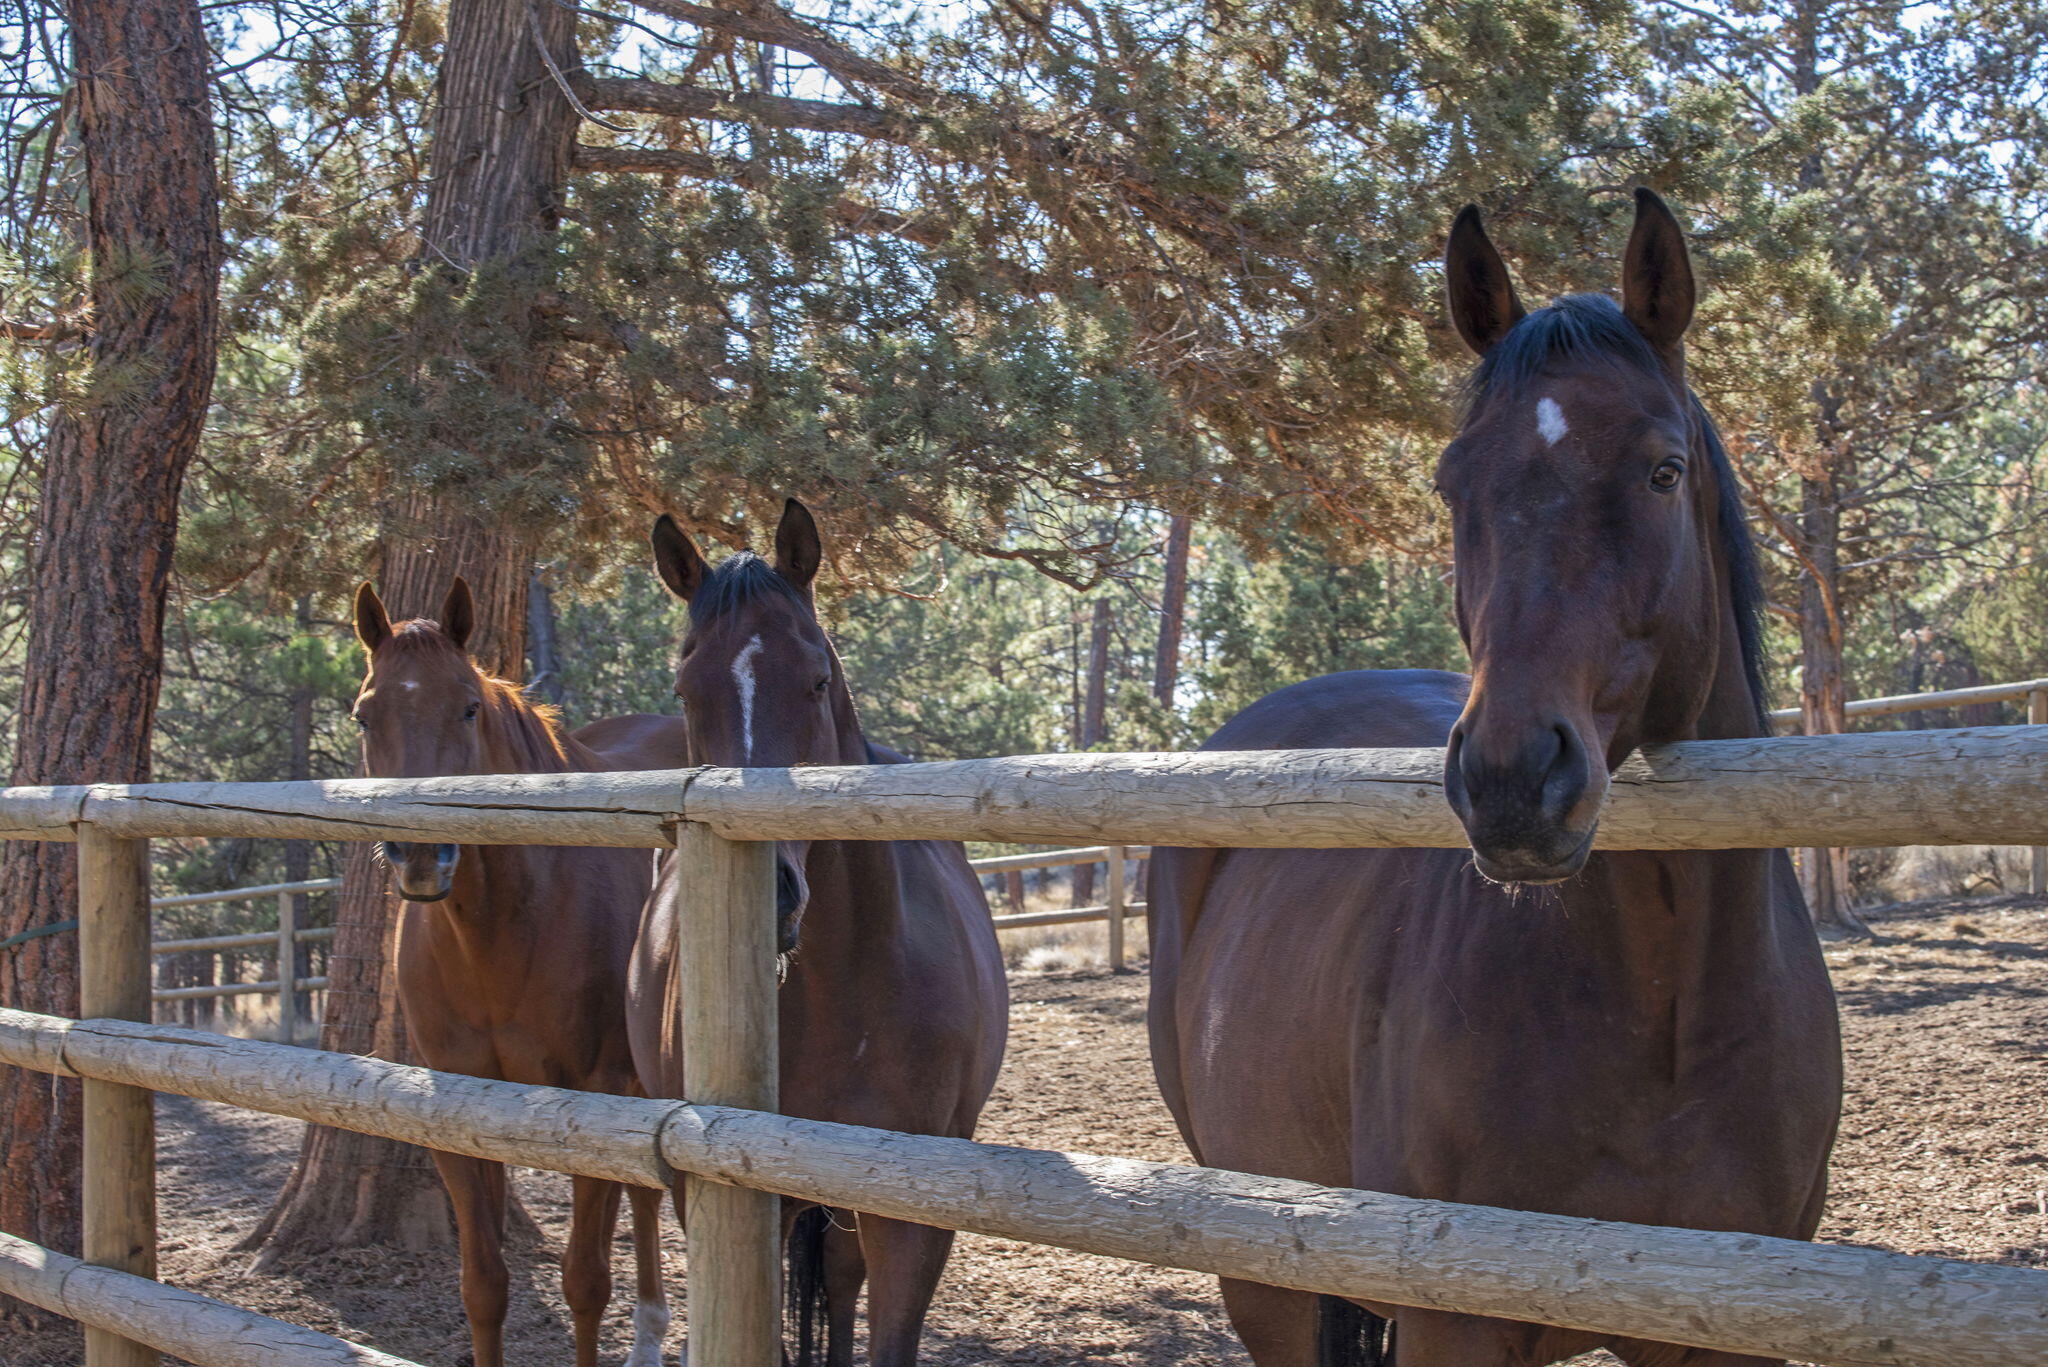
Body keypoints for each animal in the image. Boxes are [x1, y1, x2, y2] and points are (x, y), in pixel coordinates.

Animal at [351, 578, 692, 1367]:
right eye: (365, 713)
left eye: (468, 706)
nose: (421, 855)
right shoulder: (458, 1100)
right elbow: (483, 1283)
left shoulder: (598, 1090)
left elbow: (585, 1280)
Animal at [626, 498, 1009, 1367]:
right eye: (684, 688)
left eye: (819, 679)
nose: (769, 894)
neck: (847, 987)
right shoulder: (734, 1190)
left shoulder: (911, 1204)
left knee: (839, 1276)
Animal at [1147, 190, 1842, 1367]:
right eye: (1450, 482)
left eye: (1662, 469)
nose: (1514, 778)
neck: (1664, 1011)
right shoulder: (1452, 1318)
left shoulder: (1726, 1326)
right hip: (1265, 1268)